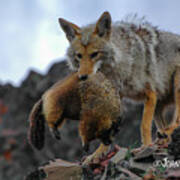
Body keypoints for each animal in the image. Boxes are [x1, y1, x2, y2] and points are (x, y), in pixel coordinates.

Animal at [59, 11, 180, 149]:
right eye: (79, 56)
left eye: (94, 54)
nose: (83, 77)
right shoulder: (118, 99)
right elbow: (107, 133)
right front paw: (98, 153)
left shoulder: (151, 93)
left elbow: (144, 125)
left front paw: (146, 146)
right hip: (159, 106)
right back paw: (163, 138)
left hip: (176, 87)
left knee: (177, 120)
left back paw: (166, 134)